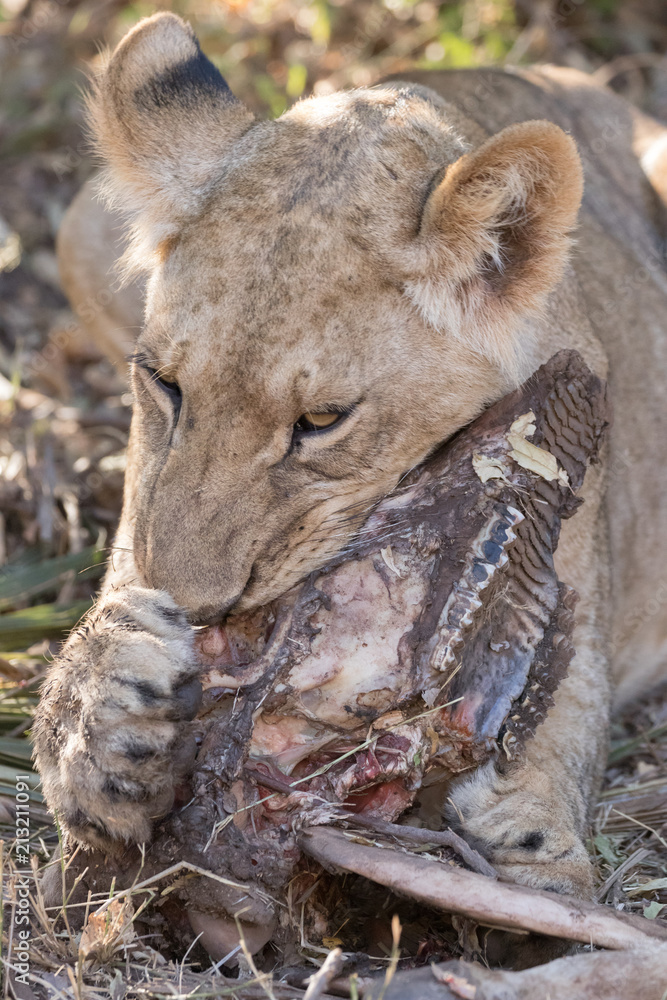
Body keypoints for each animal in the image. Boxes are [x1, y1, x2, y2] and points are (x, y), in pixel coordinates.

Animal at [34, 12, 667, 907]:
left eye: (322, 421)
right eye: (164, 383)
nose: (198, 611)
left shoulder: (575, 583)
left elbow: (558, 719)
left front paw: (534, 841)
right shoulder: (142, 517)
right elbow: (115, 605)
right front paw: (99, 720)